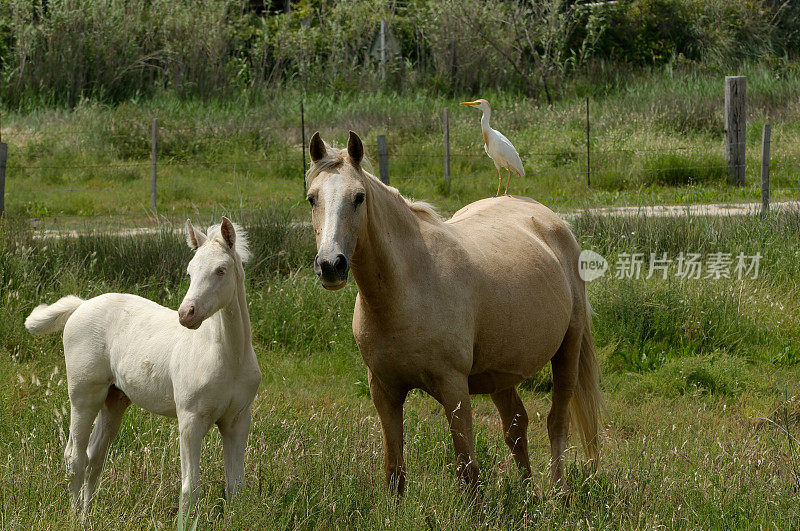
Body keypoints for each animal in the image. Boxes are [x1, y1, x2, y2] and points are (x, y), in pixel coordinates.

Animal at [25, 217, 260, 520]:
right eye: (190, 271)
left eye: (221, 270)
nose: (186, 314)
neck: (228, 356)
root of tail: (81, 305)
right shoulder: (190, 419)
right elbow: (190, 488)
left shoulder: (237, 421)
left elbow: (236, 487)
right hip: (83, 396)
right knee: (75, 457)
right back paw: (75, 517)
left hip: (114, 399)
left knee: (94, 457)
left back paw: (88, 516)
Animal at [304, 132, 600, 494]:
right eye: (312, 198)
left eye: (359, 197)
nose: (331, 265)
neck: (407, 289)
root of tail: (551, 220)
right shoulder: (384, 392)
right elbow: (394, 472)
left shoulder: (454, 389)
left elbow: (467, 471)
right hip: (501, 371)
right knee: (516, 425)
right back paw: (529, 494)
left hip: (568, 349)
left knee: (557, 420)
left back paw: (559, 494)